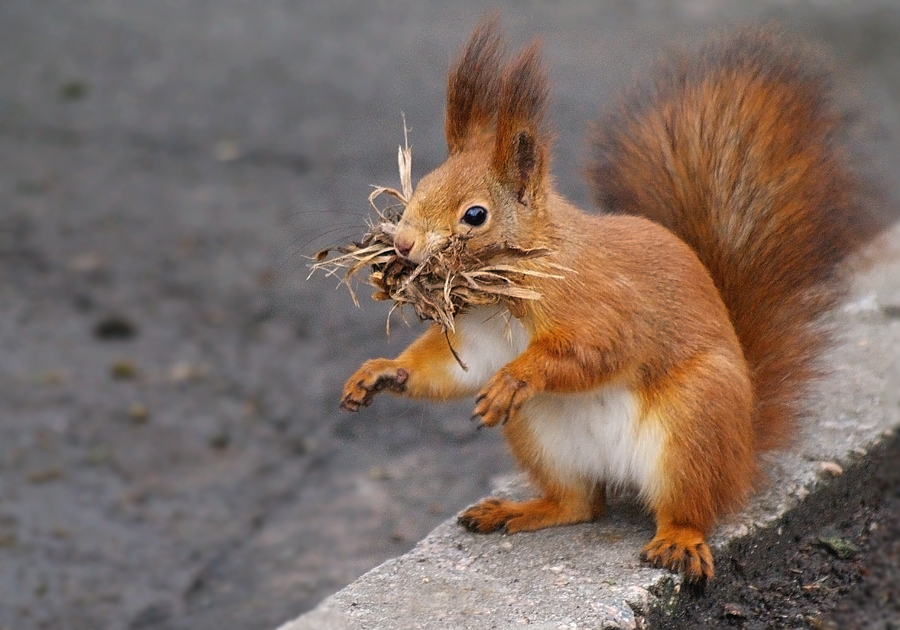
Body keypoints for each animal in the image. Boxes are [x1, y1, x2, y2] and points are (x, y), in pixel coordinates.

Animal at [336, 18, 864, 588]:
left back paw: (679, 539)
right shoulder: (478, 337)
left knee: (691, 507)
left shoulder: (601, 303)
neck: (508, 290)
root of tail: (743, 452)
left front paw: (515, 378)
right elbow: (455, 370)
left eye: (474, 216)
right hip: (543, 437)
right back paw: (519, 510)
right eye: (421, 187)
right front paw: (381, 372)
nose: (403, 244)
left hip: (695, 423)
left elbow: (596, 349)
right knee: (581, 504)